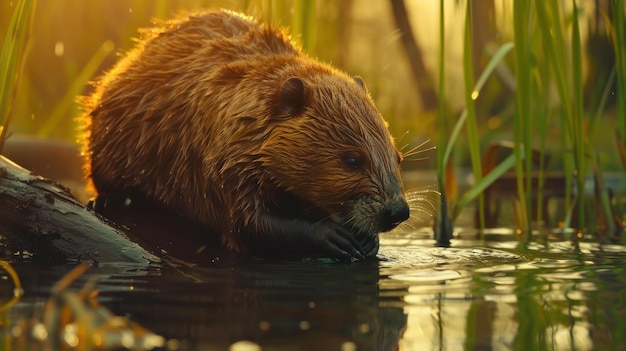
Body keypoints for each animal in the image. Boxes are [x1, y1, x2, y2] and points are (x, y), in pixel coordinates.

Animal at [78, 8, 408, 262]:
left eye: (397, 158)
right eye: (352, 159)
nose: (398, 211)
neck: (246, 104)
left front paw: (369, 242)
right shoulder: (223, 160)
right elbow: (248, 224)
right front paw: (335, 237)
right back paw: (105, 202)